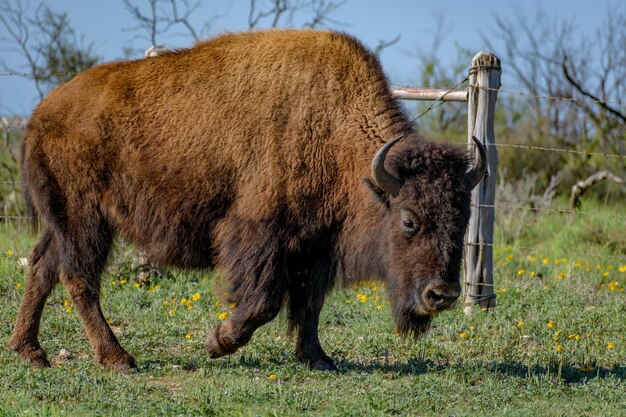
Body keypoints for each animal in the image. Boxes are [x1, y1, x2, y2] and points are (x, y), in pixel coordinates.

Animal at [9, 30, 486, 370]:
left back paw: (30, 352)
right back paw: (118, 360)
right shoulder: (259, 235)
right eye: (408, 220)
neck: (334, 130)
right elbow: (263, 302)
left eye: (463, 218)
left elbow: (309, 303)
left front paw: (318, 359)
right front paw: (217, 342)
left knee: (43, 267)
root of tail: (40, 115)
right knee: (79, 279)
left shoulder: (315, 245)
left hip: (62, 222)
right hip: (85, 220)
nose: (442, 295)